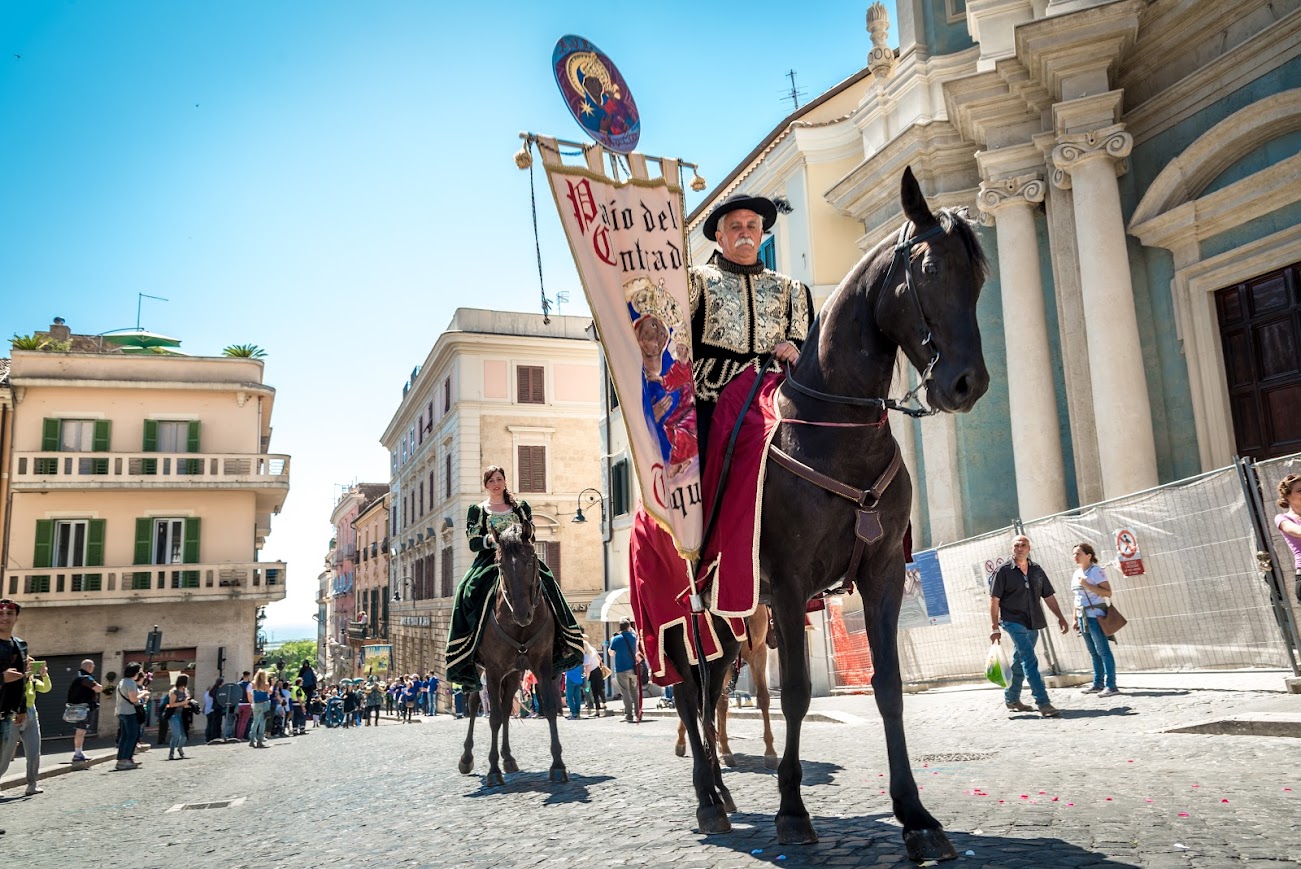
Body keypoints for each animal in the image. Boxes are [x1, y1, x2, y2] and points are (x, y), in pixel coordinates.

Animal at [666, 167, 988, 863]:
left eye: (978, 277)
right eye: (927, 268)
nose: (966, 384)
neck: (837, 433)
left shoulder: (881, 574)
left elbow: (889, 688)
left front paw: (916, 815)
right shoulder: (789, 586)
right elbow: (795, 694)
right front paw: (791, 809)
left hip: (730, 619)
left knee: (709, 691)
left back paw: (723, 793)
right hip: (676, 615)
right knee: (683, 692)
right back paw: (706, 798)